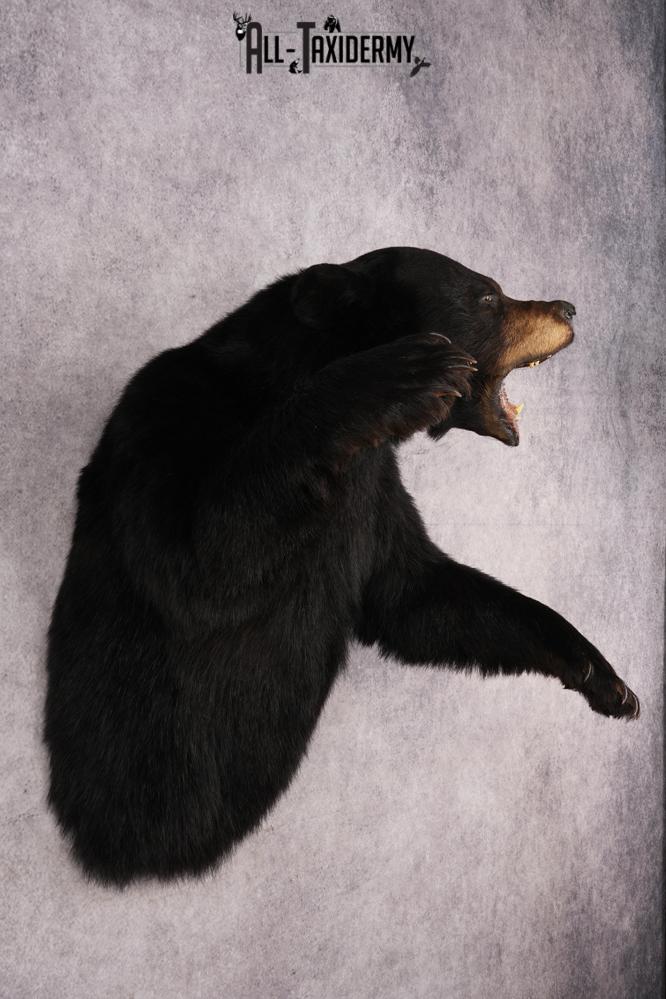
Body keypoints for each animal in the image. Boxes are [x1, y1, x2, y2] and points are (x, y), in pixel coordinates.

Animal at [44, 246, 640, 886]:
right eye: (486, 295)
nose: (568, 307)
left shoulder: (375, 489)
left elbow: (417, 593)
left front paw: (601, 674)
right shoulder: (166, 414)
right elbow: (193, 566)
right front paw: (402, 370)